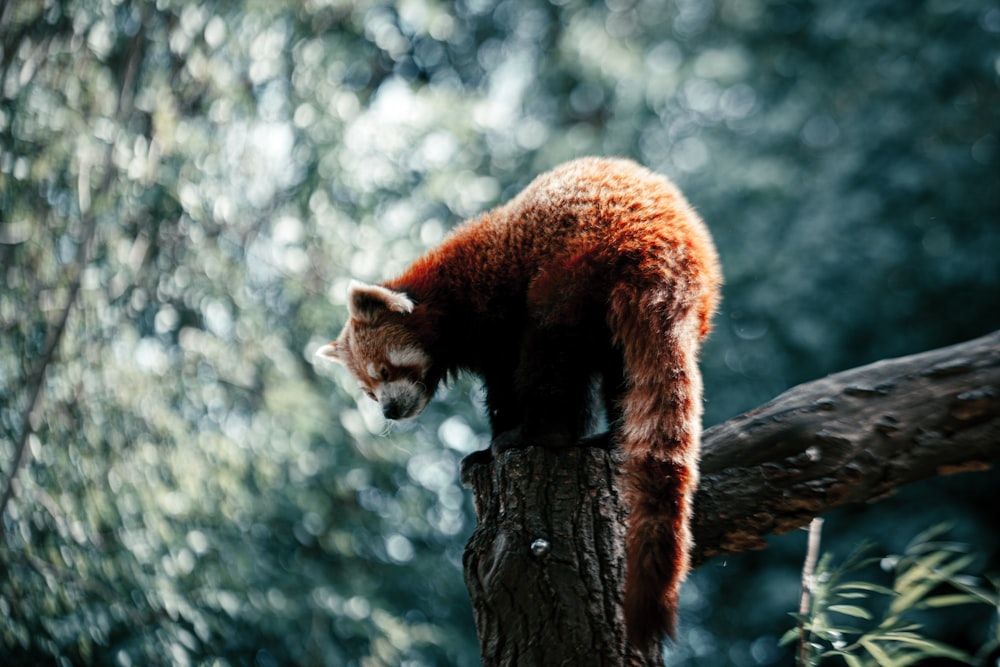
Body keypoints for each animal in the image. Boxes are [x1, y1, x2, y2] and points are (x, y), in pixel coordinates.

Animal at [318, 155, 720, 648]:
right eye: (369, 391)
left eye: (384, 372)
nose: (390, 411)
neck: (442, 295)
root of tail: (663, 247)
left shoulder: (491, 304)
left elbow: (507, 380)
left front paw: (493, 443)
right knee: (622, 376)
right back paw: (607, 437)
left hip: (575, 266)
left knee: (550, 349)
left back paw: (537, 435)